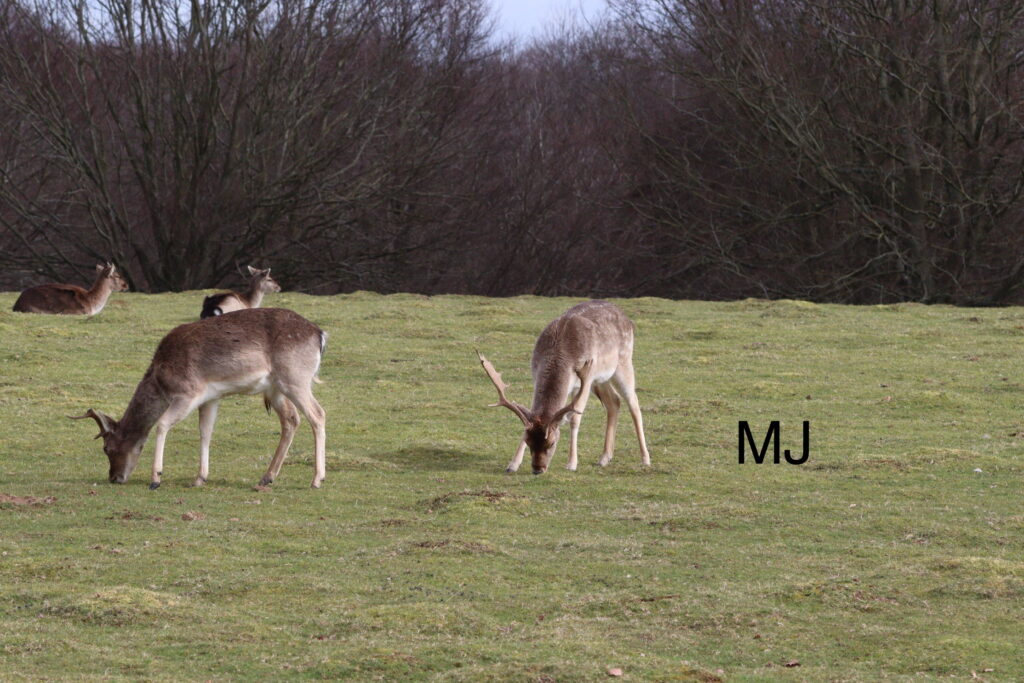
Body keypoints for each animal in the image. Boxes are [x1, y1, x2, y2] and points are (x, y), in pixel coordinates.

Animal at [70, 308, 328, 489]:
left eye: (107, 448)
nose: (114, 477)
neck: (161, 378)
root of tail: (320, 335)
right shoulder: (210, 398)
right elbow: (205, 432)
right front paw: (199, 478)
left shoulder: (188, 392)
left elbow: (162, 424)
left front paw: (156, 478)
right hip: (275, 388)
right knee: (291, 419)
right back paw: (267, 477)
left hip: (295, 378)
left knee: (318, 414)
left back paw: (317, 479)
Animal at [478, 300, 651, 474]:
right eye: (529, 442)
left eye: (552, 443)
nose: (537, 469)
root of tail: (627, 319)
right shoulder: (537, 374)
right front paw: (512, 464)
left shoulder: (586, 379)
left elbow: (574, 418)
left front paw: (572, 463)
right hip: (601, 379)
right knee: (614, 402)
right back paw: (604, 458)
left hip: (623, 363)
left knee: (634, 404)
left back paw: (645, 459)